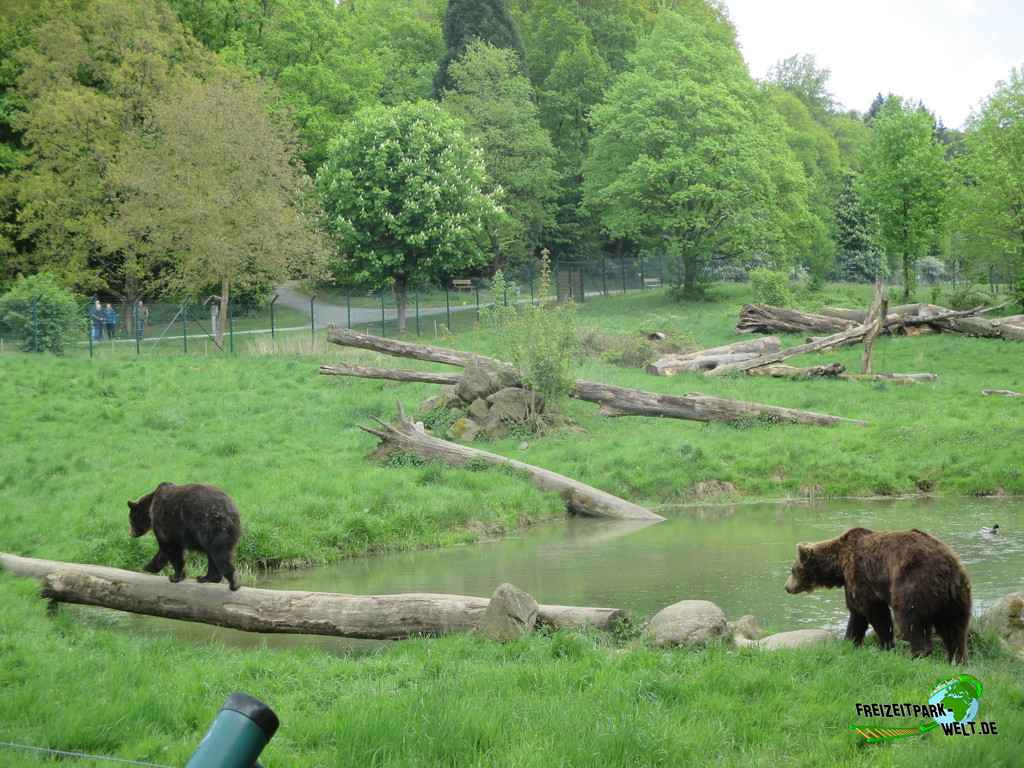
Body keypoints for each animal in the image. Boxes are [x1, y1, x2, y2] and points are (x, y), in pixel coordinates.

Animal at [786, 528, 970, 667]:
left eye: (793, 570)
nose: (786, 587)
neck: (839, 564)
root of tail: (947, 567)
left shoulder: (860, 575)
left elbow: (875, 613)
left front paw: (886, 646)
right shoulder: (852, 584)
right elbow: (856, 615)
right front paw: (850, 641)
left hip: (913, 582)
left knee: (910, 619)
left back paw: (917, 654)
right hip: (955, 597)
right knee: (955, 627)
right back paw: (956, 659)